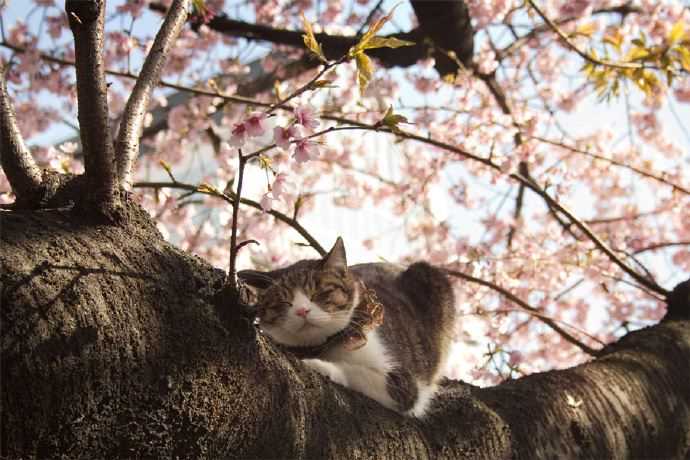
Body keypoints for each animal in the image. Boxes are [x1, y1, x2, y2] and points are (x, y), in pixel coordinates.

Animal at [239, 237, 454, 416]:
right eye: (283, 302)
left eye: (319, 293)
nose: (302, 311)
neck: (321, 346)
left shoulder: (404, 383)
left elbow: (357, 373)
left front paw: (317, 365)